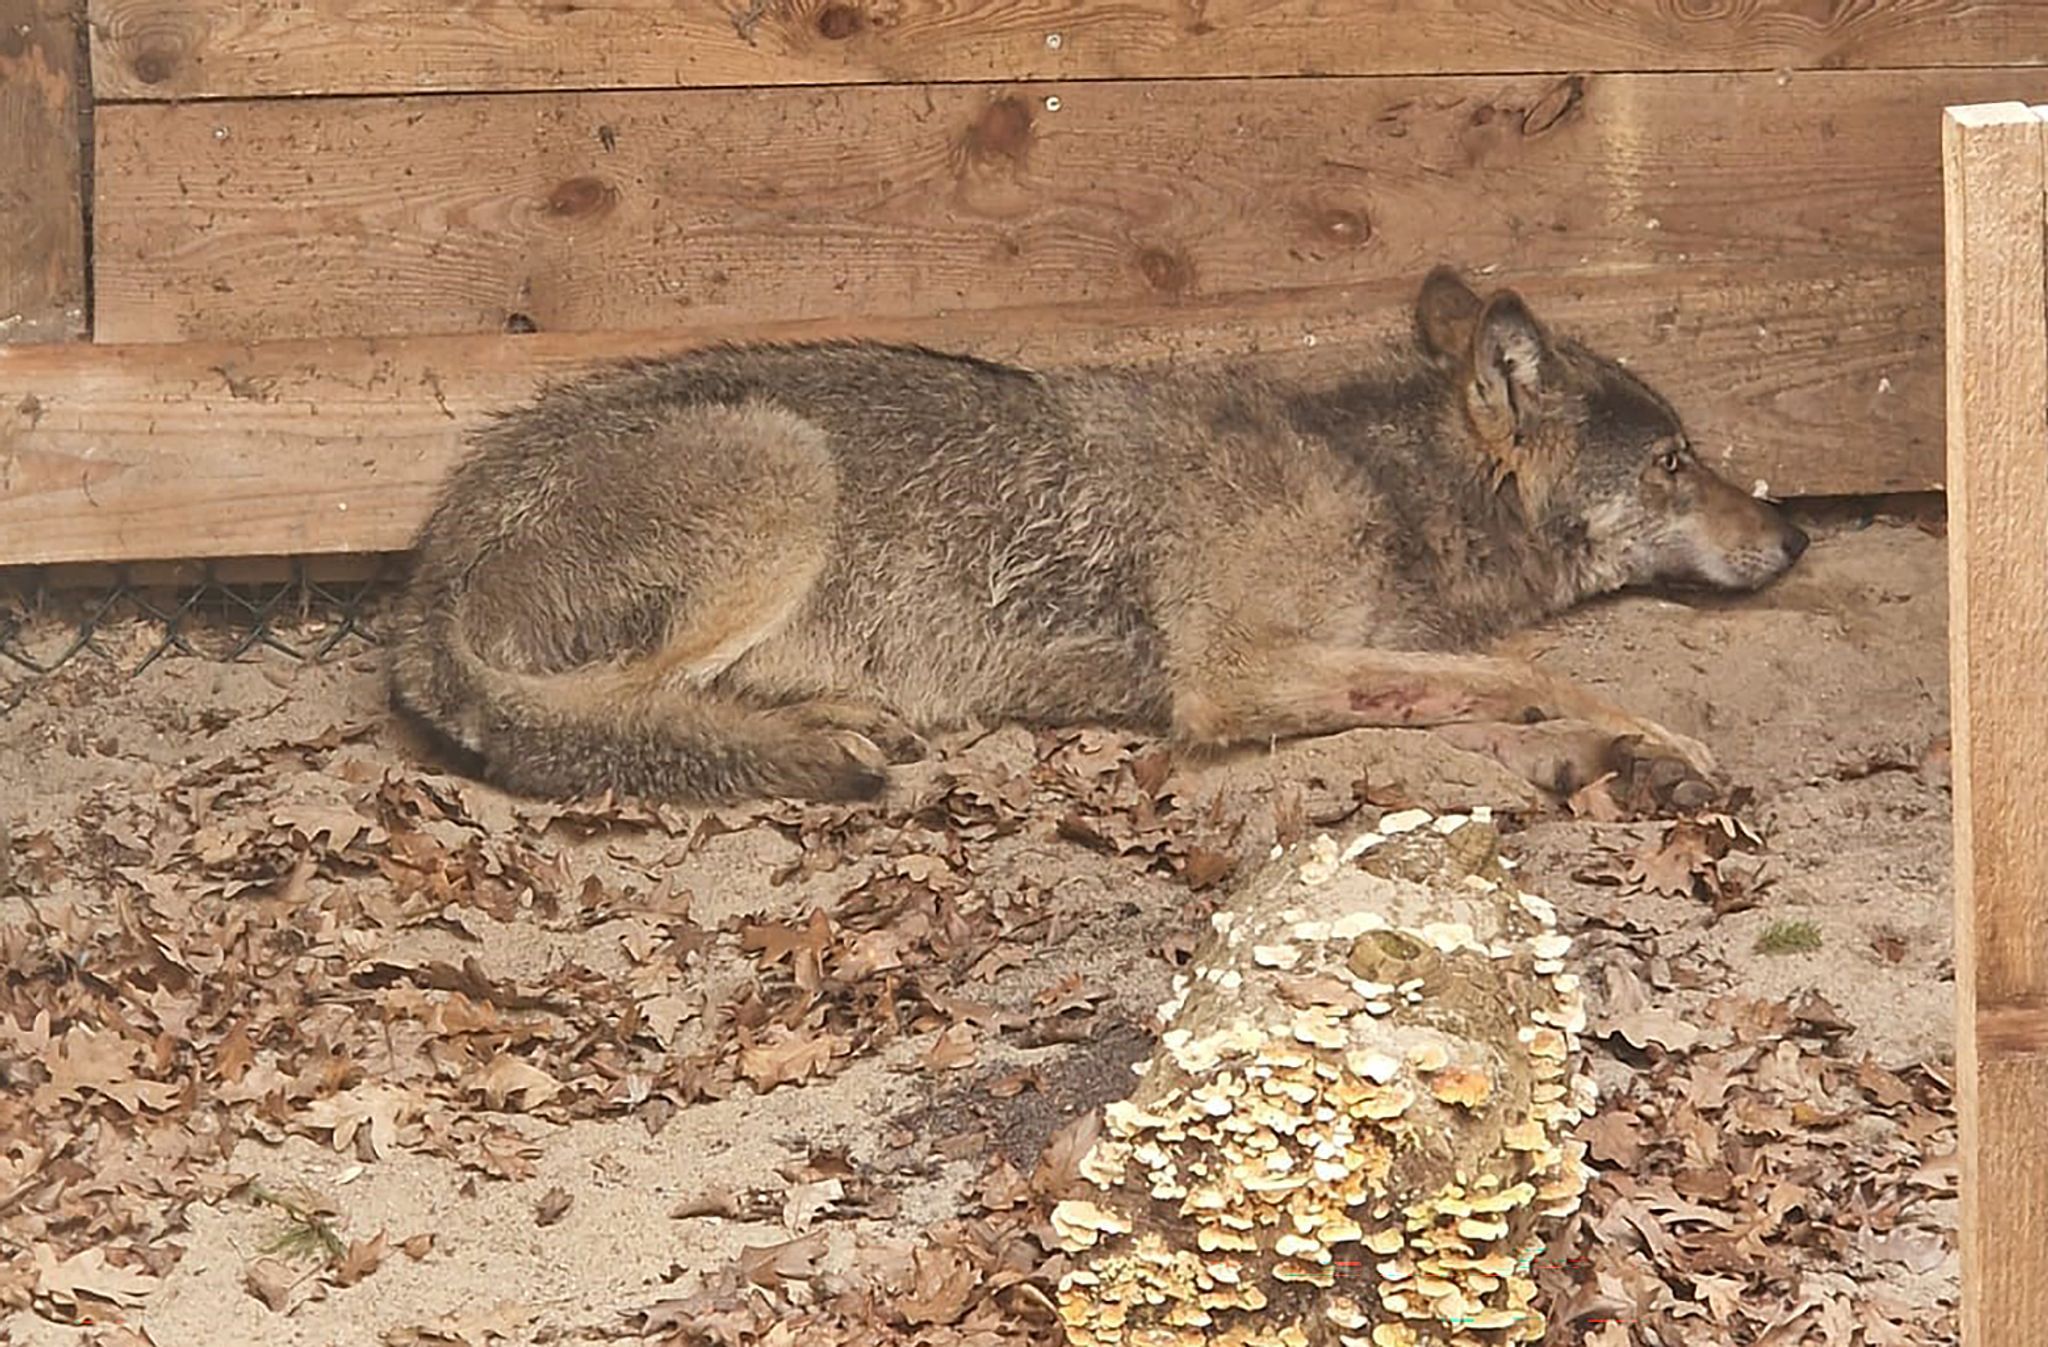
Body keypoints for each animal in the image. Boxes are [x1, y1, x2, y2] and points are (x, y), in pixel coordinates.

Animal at [387, 267, 1809, 805]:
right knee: (608, 717)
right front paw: (1651, 739)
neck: (1376, 481)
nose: (1794, 534)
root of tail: (424, 574)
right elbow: (1531, 673)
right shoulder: (1229, 676)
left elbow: (1471, 691)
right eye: (1676, 462)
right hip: (783, 467)